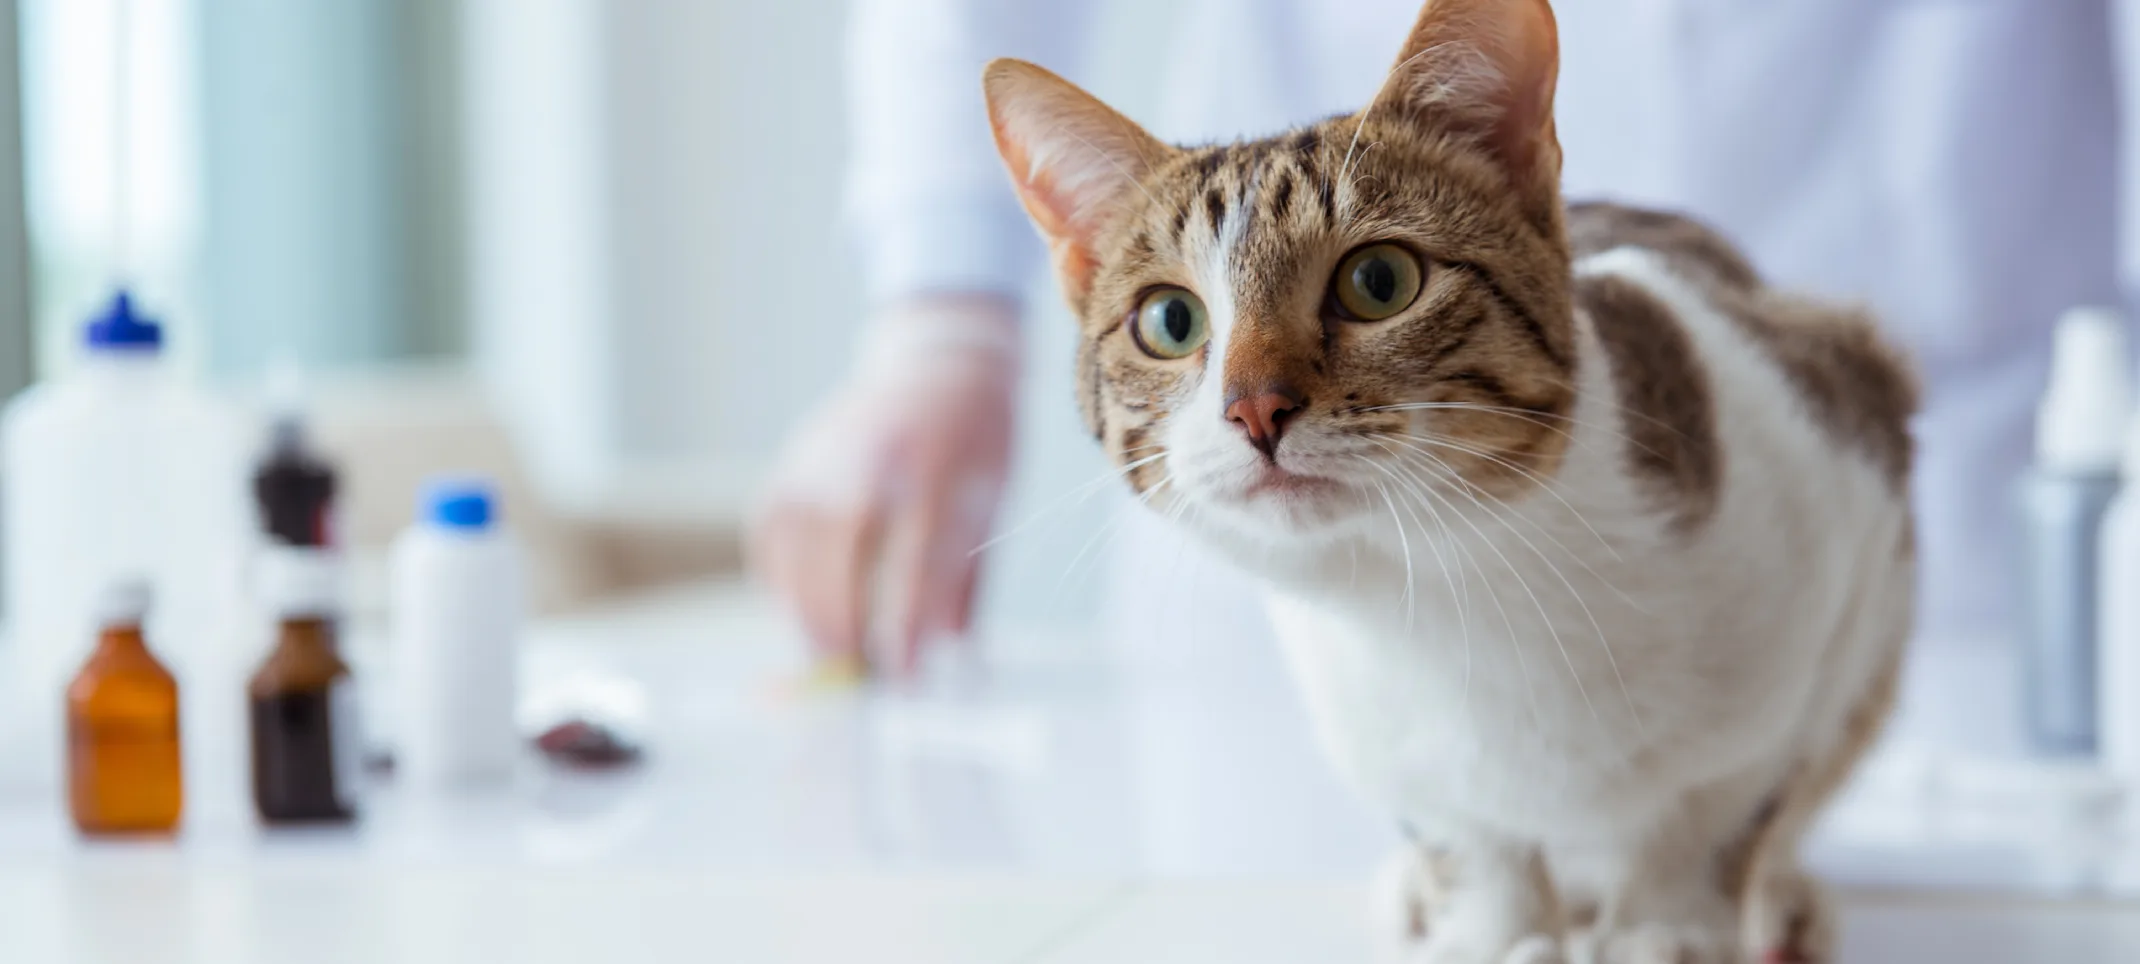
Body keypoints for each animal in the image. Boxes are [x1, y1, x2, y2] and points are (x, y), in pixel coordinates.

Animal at [980, 0, 1917, 959]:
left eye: (1378, 280)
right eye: (1171, 321)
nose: (1255, 408)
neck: (1450, 588)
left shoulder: (1843, 511)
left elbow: (1720, 807)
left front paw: (1667, 926)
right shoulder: (1383, 738)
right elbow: (1468, 834)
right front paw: (1496, 928)